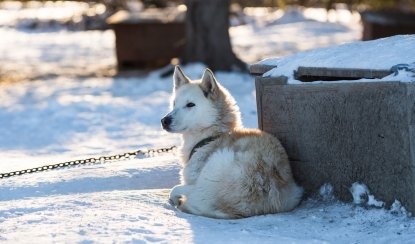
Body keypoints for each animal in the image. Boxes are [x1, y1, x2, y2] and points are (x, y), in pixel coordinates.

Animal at [162, 66, 302, 218]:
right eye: (174, 103)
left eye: (190, 105)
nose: (164, 121)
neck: (212, 136)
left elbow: (176, 189)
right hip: (294, 193)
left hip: (217, 162)